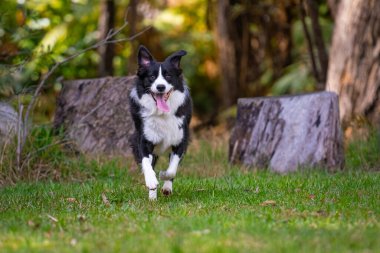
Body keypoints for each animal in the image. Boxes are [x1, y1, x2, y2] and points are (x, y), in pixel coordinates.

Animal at [128, 45, 193, 200]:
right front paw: (152, 182)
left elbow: (172, 169)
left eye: (168, 76)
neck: (162, 113)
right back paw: (152, 197)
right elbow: (146, 162)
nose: (161, 87)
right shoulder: (143, 140)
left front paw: (164, 176)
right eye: (151, 77)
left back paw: (166, 188)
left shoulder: (181, 141)